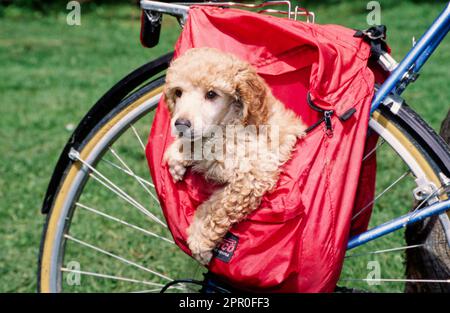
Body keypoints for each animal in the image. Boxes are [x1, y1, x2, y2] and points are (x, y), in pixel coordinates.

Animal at [162, 47, 306, 264]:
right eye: (178, 92)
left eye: (211, 94)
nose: (181, 124)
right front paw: (177, 157)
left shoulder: (253, 175)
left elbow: (217, 207)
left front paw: (199, 241)